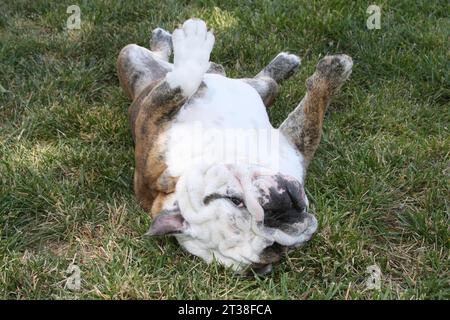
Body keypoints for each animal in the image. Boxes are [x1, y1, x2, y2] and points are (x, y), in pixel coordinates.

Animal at [118, 18, 354, 274]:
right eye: (275, 247)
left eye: (233, 198)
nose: (275, 213)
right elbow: (315, 109)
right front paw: (336, 68)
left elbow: (177, 85)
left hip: (134, 54)